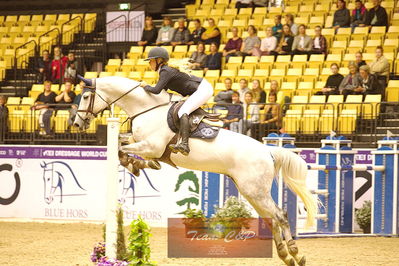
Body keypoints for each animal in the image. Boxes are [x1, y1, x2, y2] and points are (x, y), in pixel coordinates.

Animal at [74, 76, 318, 264]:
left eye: (85, 97)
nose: (76, 124)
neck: (146, 109)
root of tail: (267, 151)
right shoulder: (143, 143)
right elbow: (124, 142)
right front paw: (142, 165)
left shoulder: (151, 146)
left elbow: (121, 149)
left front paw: (134, 164)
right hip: (251, 191)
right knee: (272, 218)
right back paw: (287, 255)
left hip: (255, 190)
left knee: (279, 215)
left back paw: (295, 252)